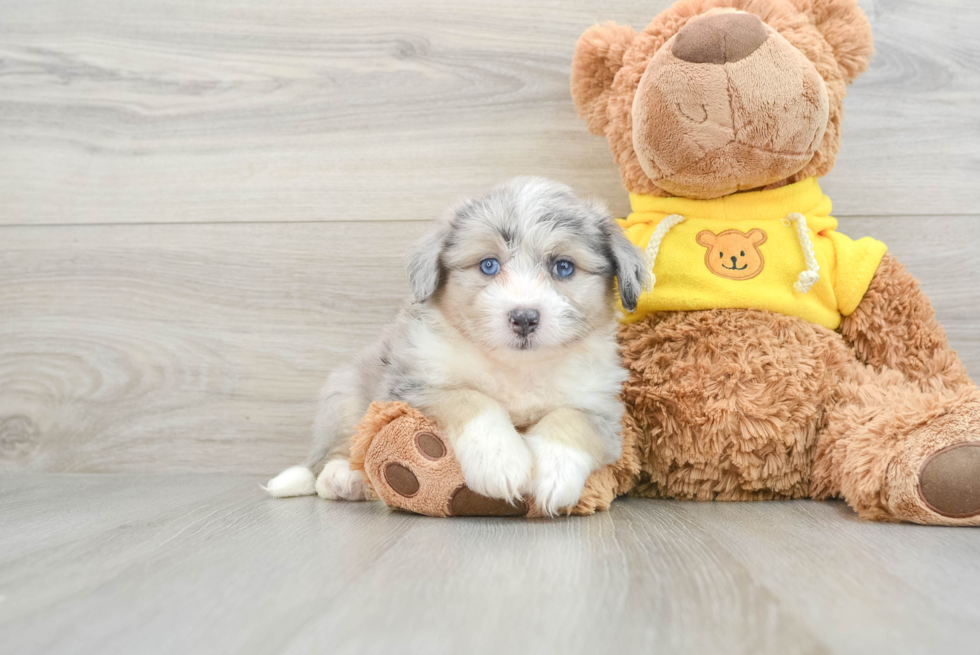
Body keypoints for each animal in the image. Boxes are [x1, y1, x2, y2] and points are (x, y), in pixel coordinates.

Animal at [268, 177, 648, 516]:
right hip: (343, 394)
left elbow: (571, 419)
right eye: (489, 265)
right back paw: (344, 478)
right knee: (330, 454)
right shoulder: (413, 384)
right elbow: (471, 398)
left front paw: (553, 473)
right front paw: (501, 461)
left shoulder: (604, 410)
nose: (524, 318)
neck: (516, 369)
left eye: (564, 267)